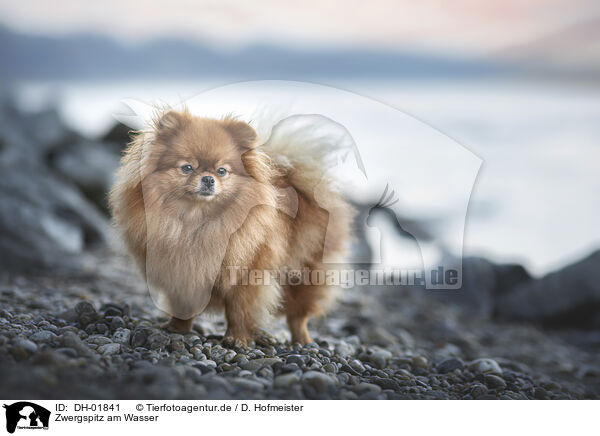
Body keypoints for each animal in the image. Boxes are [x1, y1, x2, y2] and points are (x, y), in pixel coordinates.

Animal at [109, 109, 352, 348]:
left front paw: (237, 339)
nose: (208, 179)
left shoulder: (247, 277)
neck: (196, 223)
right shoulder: (179, 274)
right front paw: (177, 328)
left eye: (222, 171)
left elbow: (239, 312)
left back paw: (302, 341)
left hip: (304, 275)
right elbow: (183, 306)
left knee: (298, 315)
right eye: (187, 168)